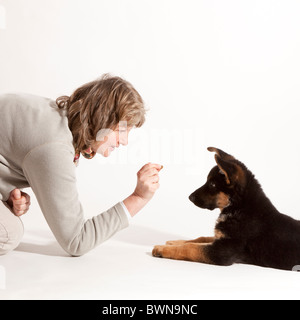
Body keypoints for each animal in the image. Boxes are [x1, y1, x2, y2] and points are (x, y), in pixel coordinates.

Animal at [154, 148, 300, 270]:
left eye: (212, 184)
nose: (190, 197)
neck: (238, 208)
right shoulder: (221, 238)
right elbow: (201, 238)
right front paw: (173, 242)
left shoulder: (223, 251)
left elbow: (191, 248)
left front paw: (162, 249)